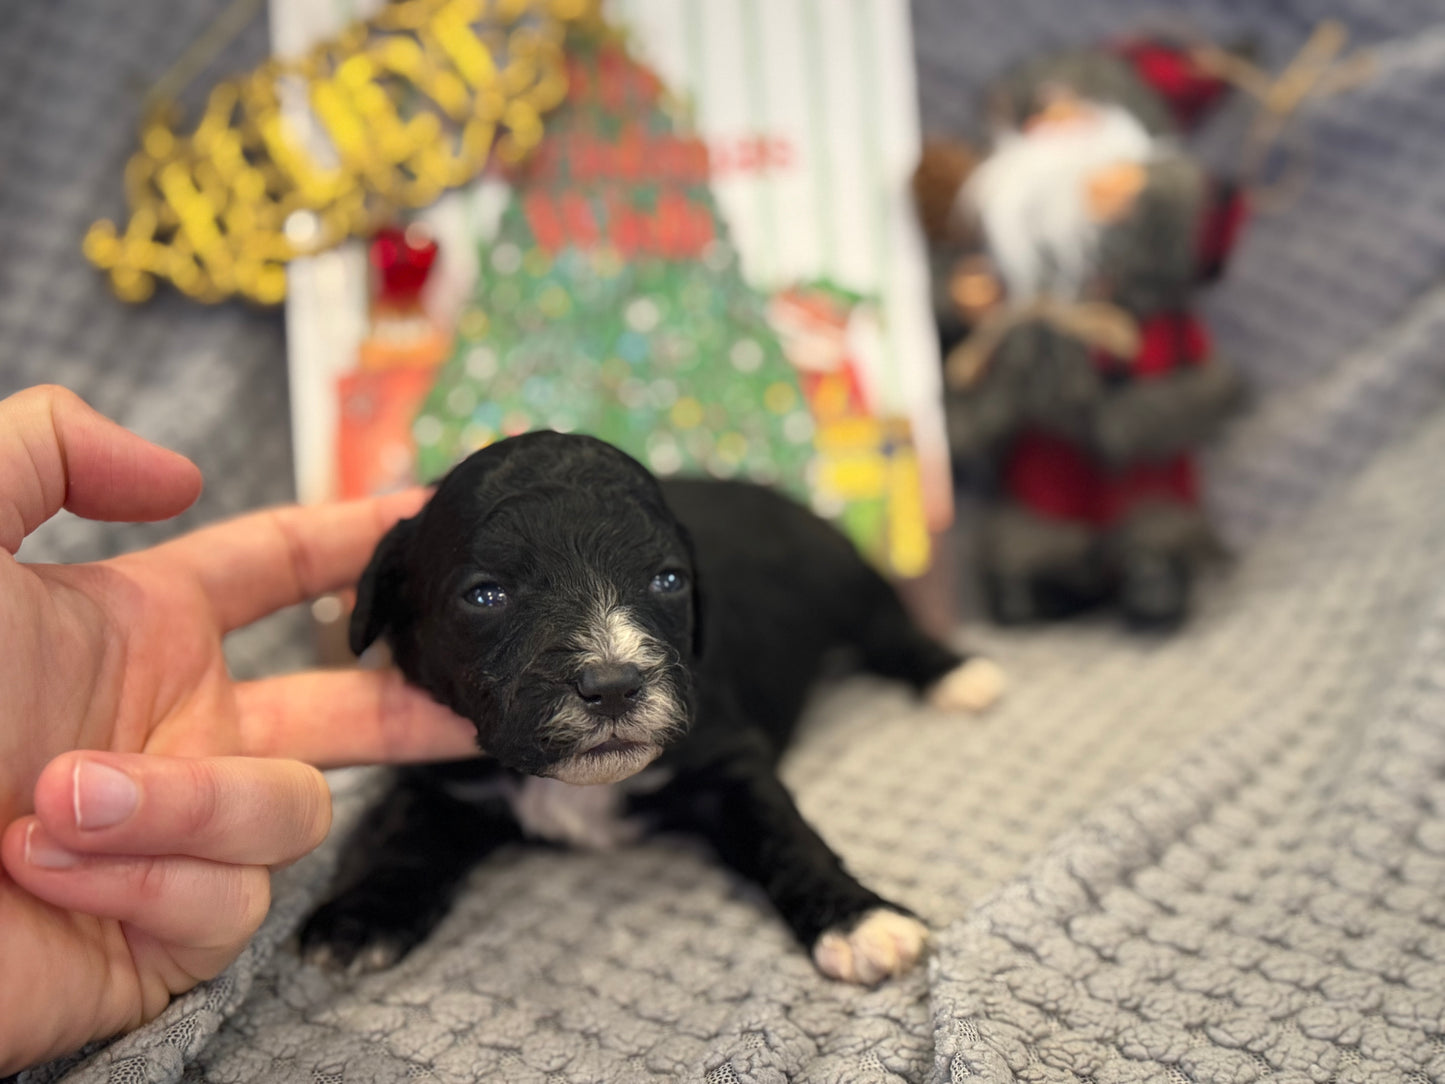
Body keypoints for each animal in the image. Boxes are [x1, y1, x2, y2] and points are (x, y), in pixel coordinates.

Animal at [302, 433, 1005, 982]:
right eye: (486, 595)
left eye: (668, 580)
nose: (613, 685)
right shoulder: (442, 775)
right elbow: (404, 834)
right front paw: (359, 916)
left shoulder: (726, 755)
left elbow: (784, 833)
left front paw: (861, 921)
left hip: (847, 576)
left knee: (891, 631)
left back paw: (959, 677)